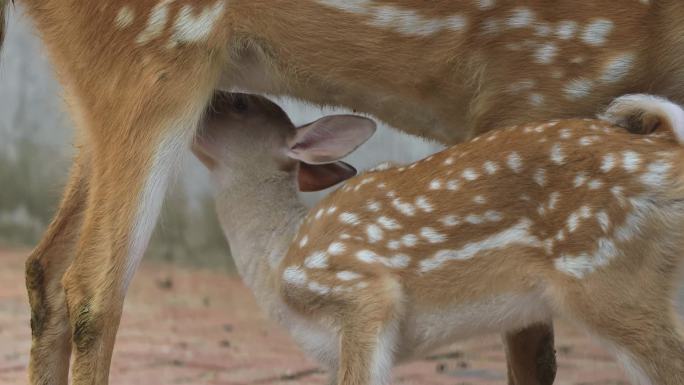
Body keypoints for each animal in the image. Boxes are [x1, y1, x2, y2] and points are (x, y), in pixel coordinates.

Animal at [2, 0, 680, 384]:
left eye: (243, 103)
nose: (217, 102)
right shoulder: (532, 82)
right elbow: (532, 357)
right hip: (150, 58)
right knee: (91, 289)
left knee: (46, 268)